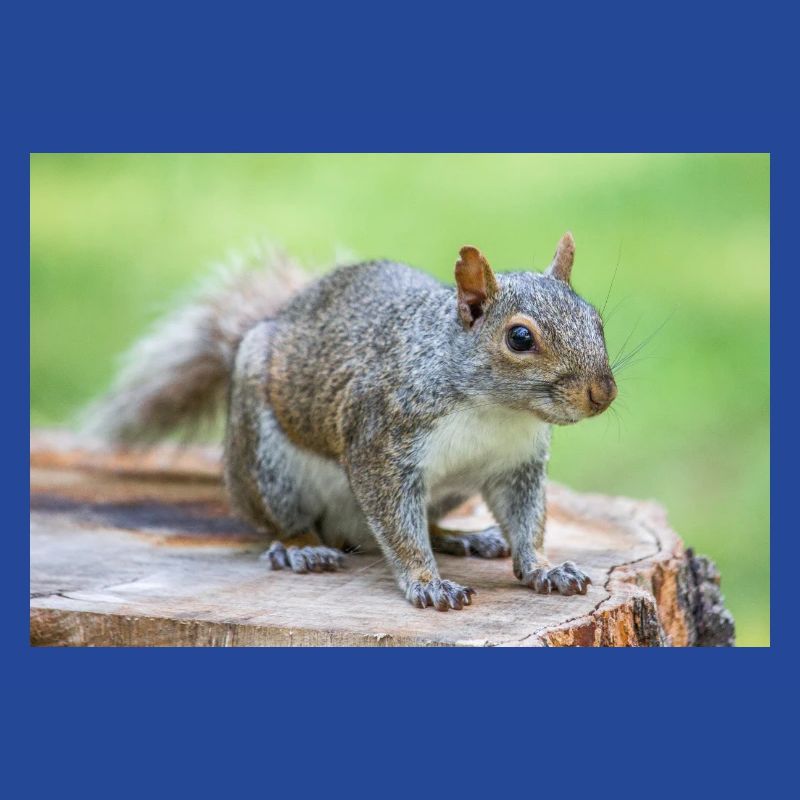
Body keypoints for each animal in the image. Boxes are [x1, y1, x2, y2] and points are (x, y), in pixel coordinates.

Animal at [90, 233, 617, 611]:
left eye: (597, 320)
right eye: (520, 338)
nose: (603, 394)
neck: (496, 411)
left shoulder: (516, 464)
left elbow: (527, 521)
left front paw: (544, 568)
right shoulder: (380, 444)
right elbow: (398, 528)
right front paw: (427, 584)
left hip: (449, 491)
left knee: (416, 522)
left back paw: (461, 537)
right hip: (267, 465)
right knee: (285, 521)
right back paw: (301, 548)